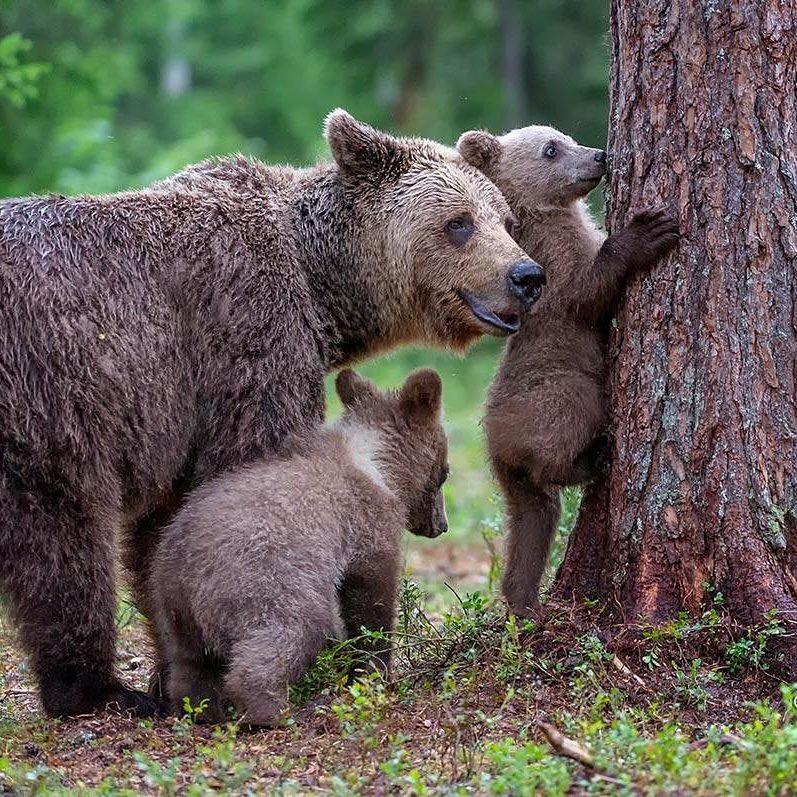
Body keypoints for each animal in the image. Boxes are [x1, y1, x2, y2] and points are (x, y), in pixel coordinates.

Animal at [149, 368, 448, 728]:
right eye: (444, 472)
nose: (441, 525)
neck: (374, 462)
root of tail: (183, 573)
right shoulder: (367, 524)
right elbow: (371, 596)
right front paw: (374, 671)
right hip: (263, 579)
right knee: (288, 633)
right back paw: (273, 710)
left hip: (172, 603)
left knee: (189, 662)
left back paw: (200, 708)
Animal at [454, 126, 676, 616]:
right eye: (551, 149)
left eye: (565, 137)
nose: (600, 155)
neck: (543, 215)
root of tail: (499, 444)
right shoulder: (551, 266)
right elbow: (588, 290)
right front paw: (648, 230)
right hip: (559, 393)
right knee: (564, 438)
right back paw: (595, 457)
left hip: (514, 479)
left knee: (532, 523)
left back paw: (521, 601)